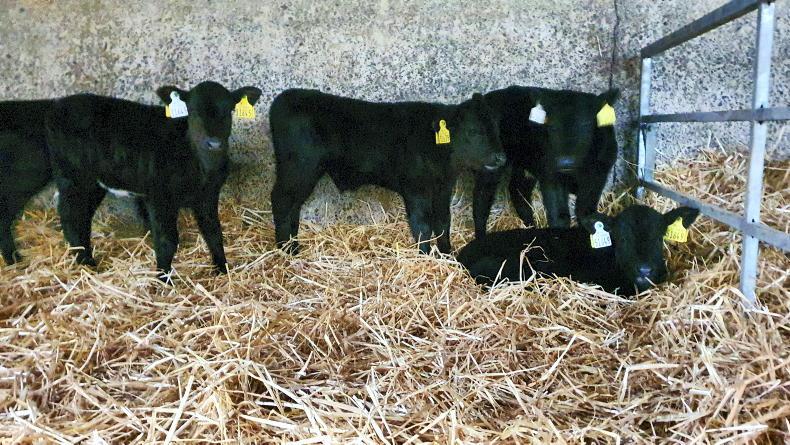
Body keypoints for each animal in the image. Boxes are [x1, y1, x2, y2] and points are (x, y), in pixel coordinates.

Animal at [45, 81, 262, 281]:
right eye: (193, 111)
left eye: (229, 110)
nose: (214, 143)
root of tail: (59, 105)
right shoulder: (159, 196)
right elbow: (167, 240)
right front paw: (163, 279)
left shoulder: (208, 195)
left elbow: (214, 232)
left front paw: (222, 269)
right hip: (74, 177)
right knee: (71, 216)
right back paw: (86, 263)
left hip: (94, 183)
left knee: (81, 217)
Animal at [269, 88, 506, 254]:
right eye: (473, 131)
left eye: (496, 128)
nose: (501, 157)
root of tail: (286, 98)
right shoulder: (415, 189)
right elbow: (422, 224)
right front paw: (426, 255)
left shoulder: (442, 188)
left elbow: (443, 221)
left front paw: (447, 253)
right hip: (299, 168)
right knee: (281, 201)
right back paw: (287, 251)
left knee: (293, 206)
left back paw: (293, 245)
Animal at [473, 86, 620, 238]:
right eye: (552, 126)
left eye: (586, 124)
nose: (565, 162)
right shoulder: (550, 175)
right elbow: (559, 216)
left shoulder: (600, 172)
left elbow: (585, 211)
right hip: (490, 164)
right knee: (481, 199)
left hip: (524, 165)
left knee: (517, 190)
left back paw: (531, 226)